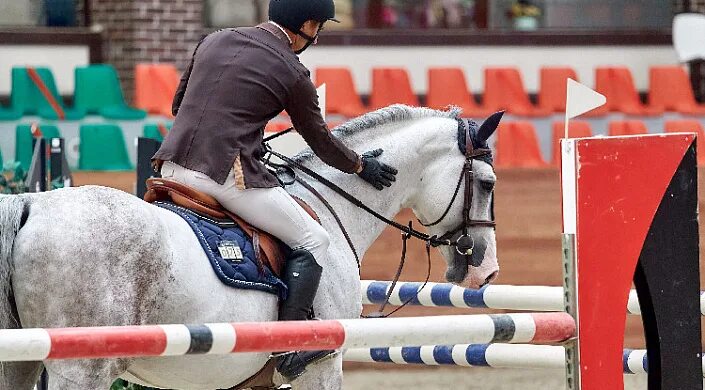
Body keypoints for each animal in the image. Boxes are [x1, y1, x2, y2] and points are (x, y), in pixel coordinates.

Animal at [0, 105, 500, 388]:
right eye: (488, 183)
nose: (485, 270)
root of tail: (30, 203)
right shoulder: (323, 366)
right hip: (80, 368)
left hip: (21, 364)